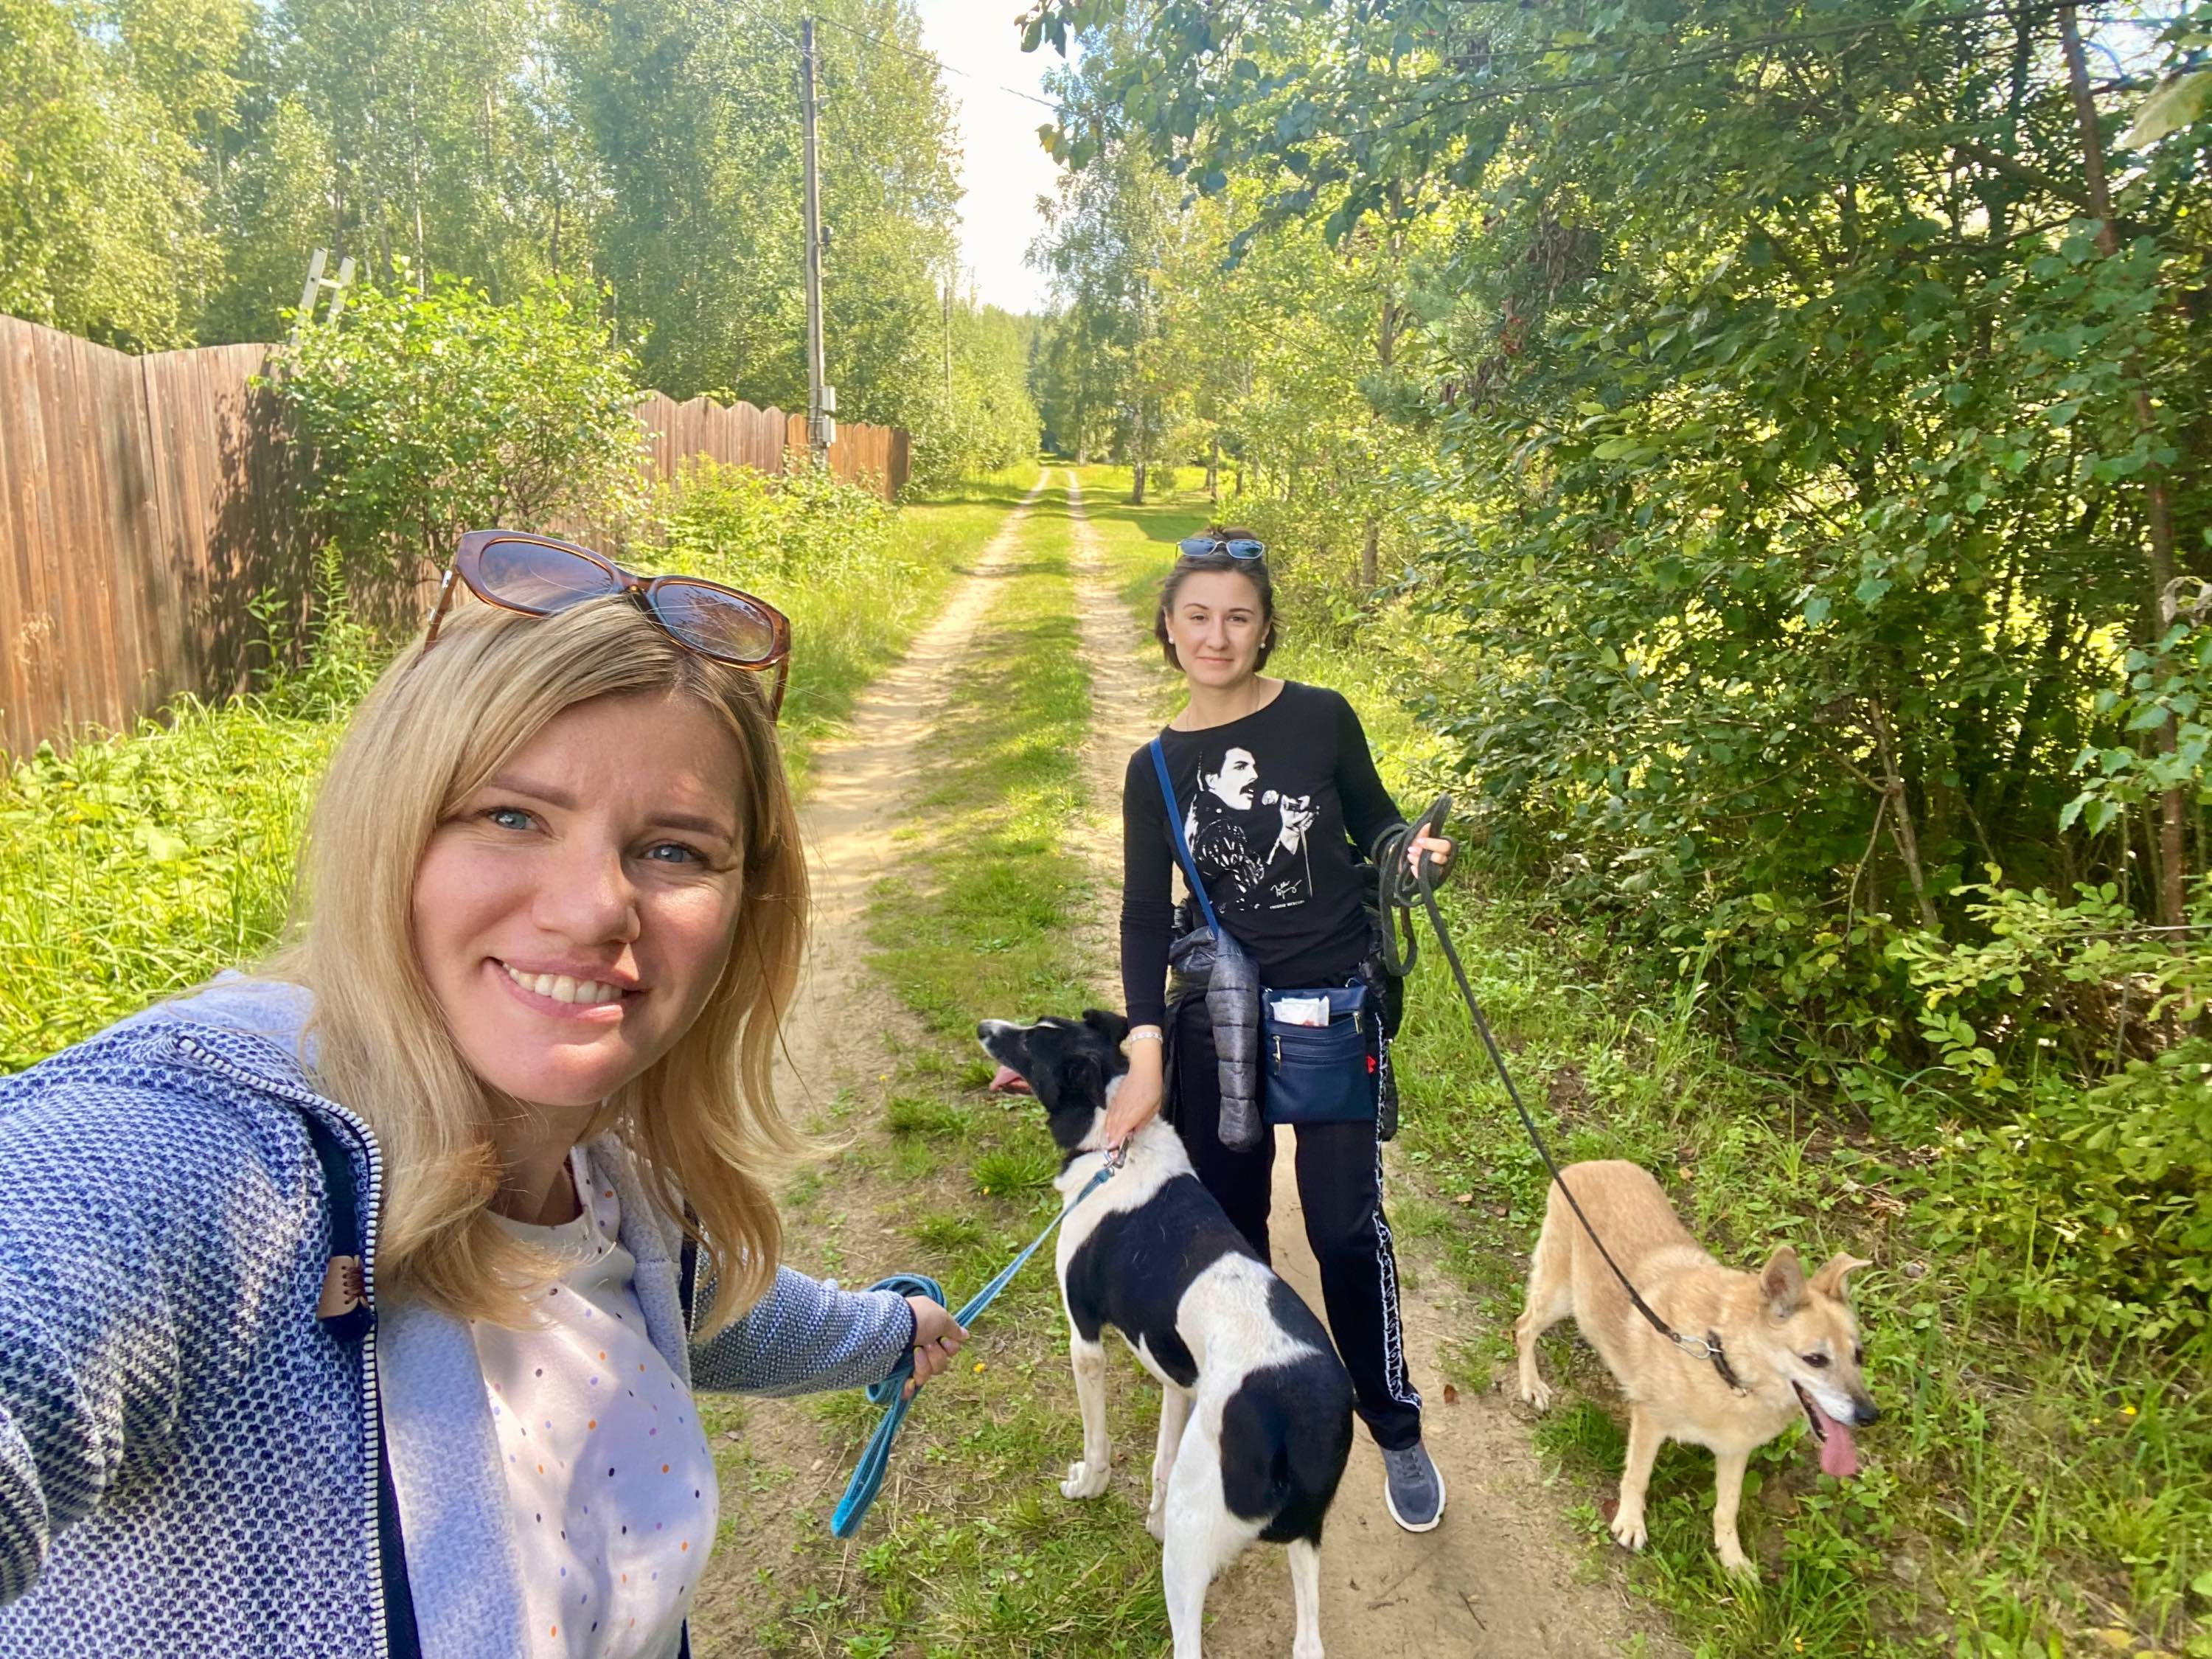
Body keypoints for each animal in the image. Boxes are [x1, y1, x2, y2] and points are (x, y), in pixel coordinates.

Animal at [978, 1009, 1353, 1659]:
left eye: (1030, 1042)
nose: (983, 1028)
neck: (1117, 1143)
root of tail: (1299, 1420)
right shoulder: (1180, 1381)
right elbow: (1160, 1459)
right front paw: (1147, 1517)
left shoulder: (1084, 1340)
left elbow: (1098, 1444)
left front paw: (1088, 1487)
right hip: (1305, 1537)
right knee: (1308, 1641)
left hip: (1194, 1538)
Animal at [1513, 1159, 1878, 1576]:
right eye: (1815, 1360)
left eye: (1859, 1356)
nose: (1870, 1416)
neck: (1724, 1359)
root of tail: (1591, 1163)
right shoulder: (1651, 1422)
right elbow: (1637, 1477)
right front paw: (1630, 1522)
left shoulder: (1735, 1450)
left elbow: (1727, 1509)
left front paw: (1732, 1559)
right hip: (1559, 1296)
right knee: (1524, 1327)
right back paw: (1531, 1384)